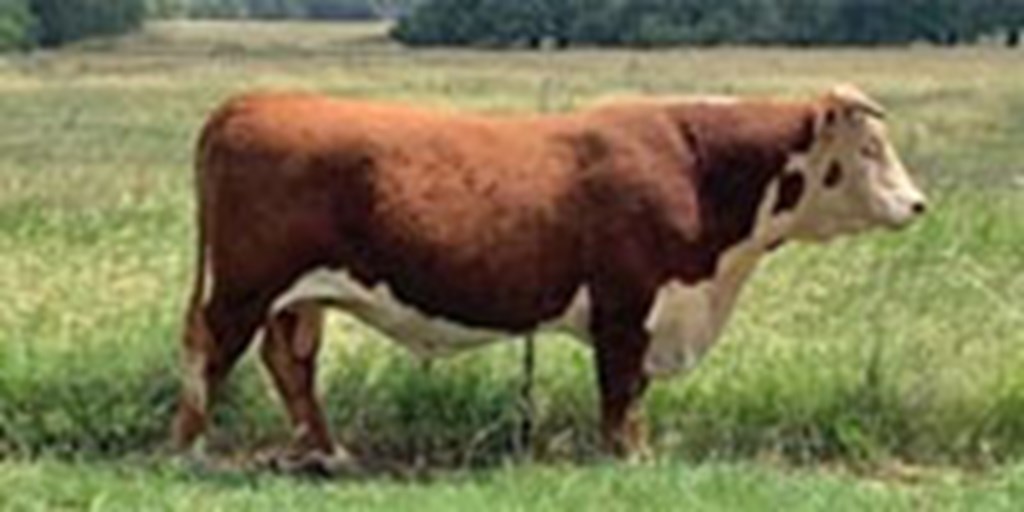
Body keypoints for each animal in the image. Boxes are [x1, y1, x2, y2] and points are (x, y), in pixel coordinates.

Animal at [169, 84, 929, 471]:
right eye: (869, 147)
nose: (919, 204)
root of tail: (254, 100)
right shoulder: (627, 305)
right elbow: (620, 390)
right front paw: (626, 458)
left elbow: (634, 391)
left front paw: (638, 452)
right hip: (244, 284)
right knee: (211, 349)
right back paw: (192, 449)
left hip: (303, 296)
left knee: (289, 362)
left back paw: (329, 454)